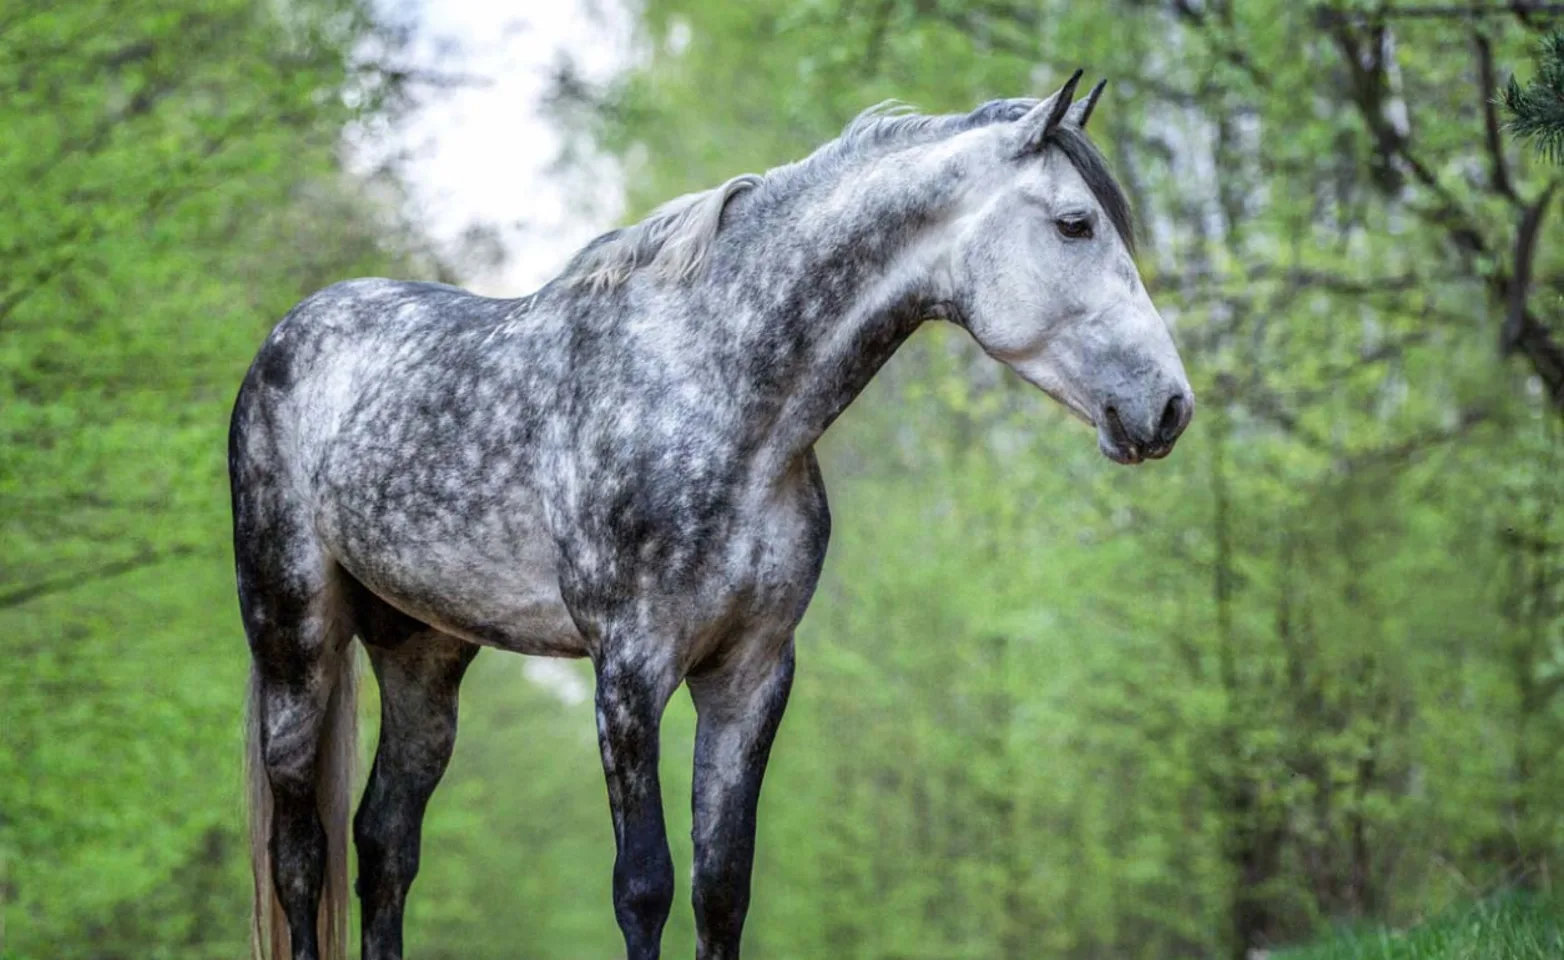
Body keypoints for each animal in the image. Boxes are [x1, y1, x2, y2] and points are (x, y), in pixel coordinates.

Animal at [228, 73, 1182, 960]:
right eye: (1074, 224)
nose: (1169, 406)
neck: (720, 396)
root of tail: (289, 334)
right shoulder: (629, 670)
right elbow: (644, 884)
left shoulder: (751, 672)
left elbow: (722, 889)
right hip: (294, 642)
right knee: (300, 853)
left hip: (423, 655)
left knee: (385, 843)